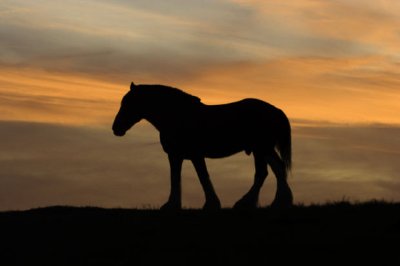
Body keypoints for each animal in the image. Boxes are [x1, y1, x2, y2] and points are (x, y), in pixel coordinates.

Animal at [112, 81, 294, 210]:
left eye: (128, 103)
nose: (116, 128)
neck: (177, 115)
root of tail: (276, 110)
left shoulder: (195, 155)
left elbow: (203, 177)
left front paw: (211, 204)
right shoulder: (176, 156)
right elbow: (175, 177)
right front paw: (173, 204)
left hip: (261, 148)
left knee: (267, 172)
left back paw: (252, 203)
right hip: (263, 149)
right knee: (274, 169)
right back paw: (276, 202)